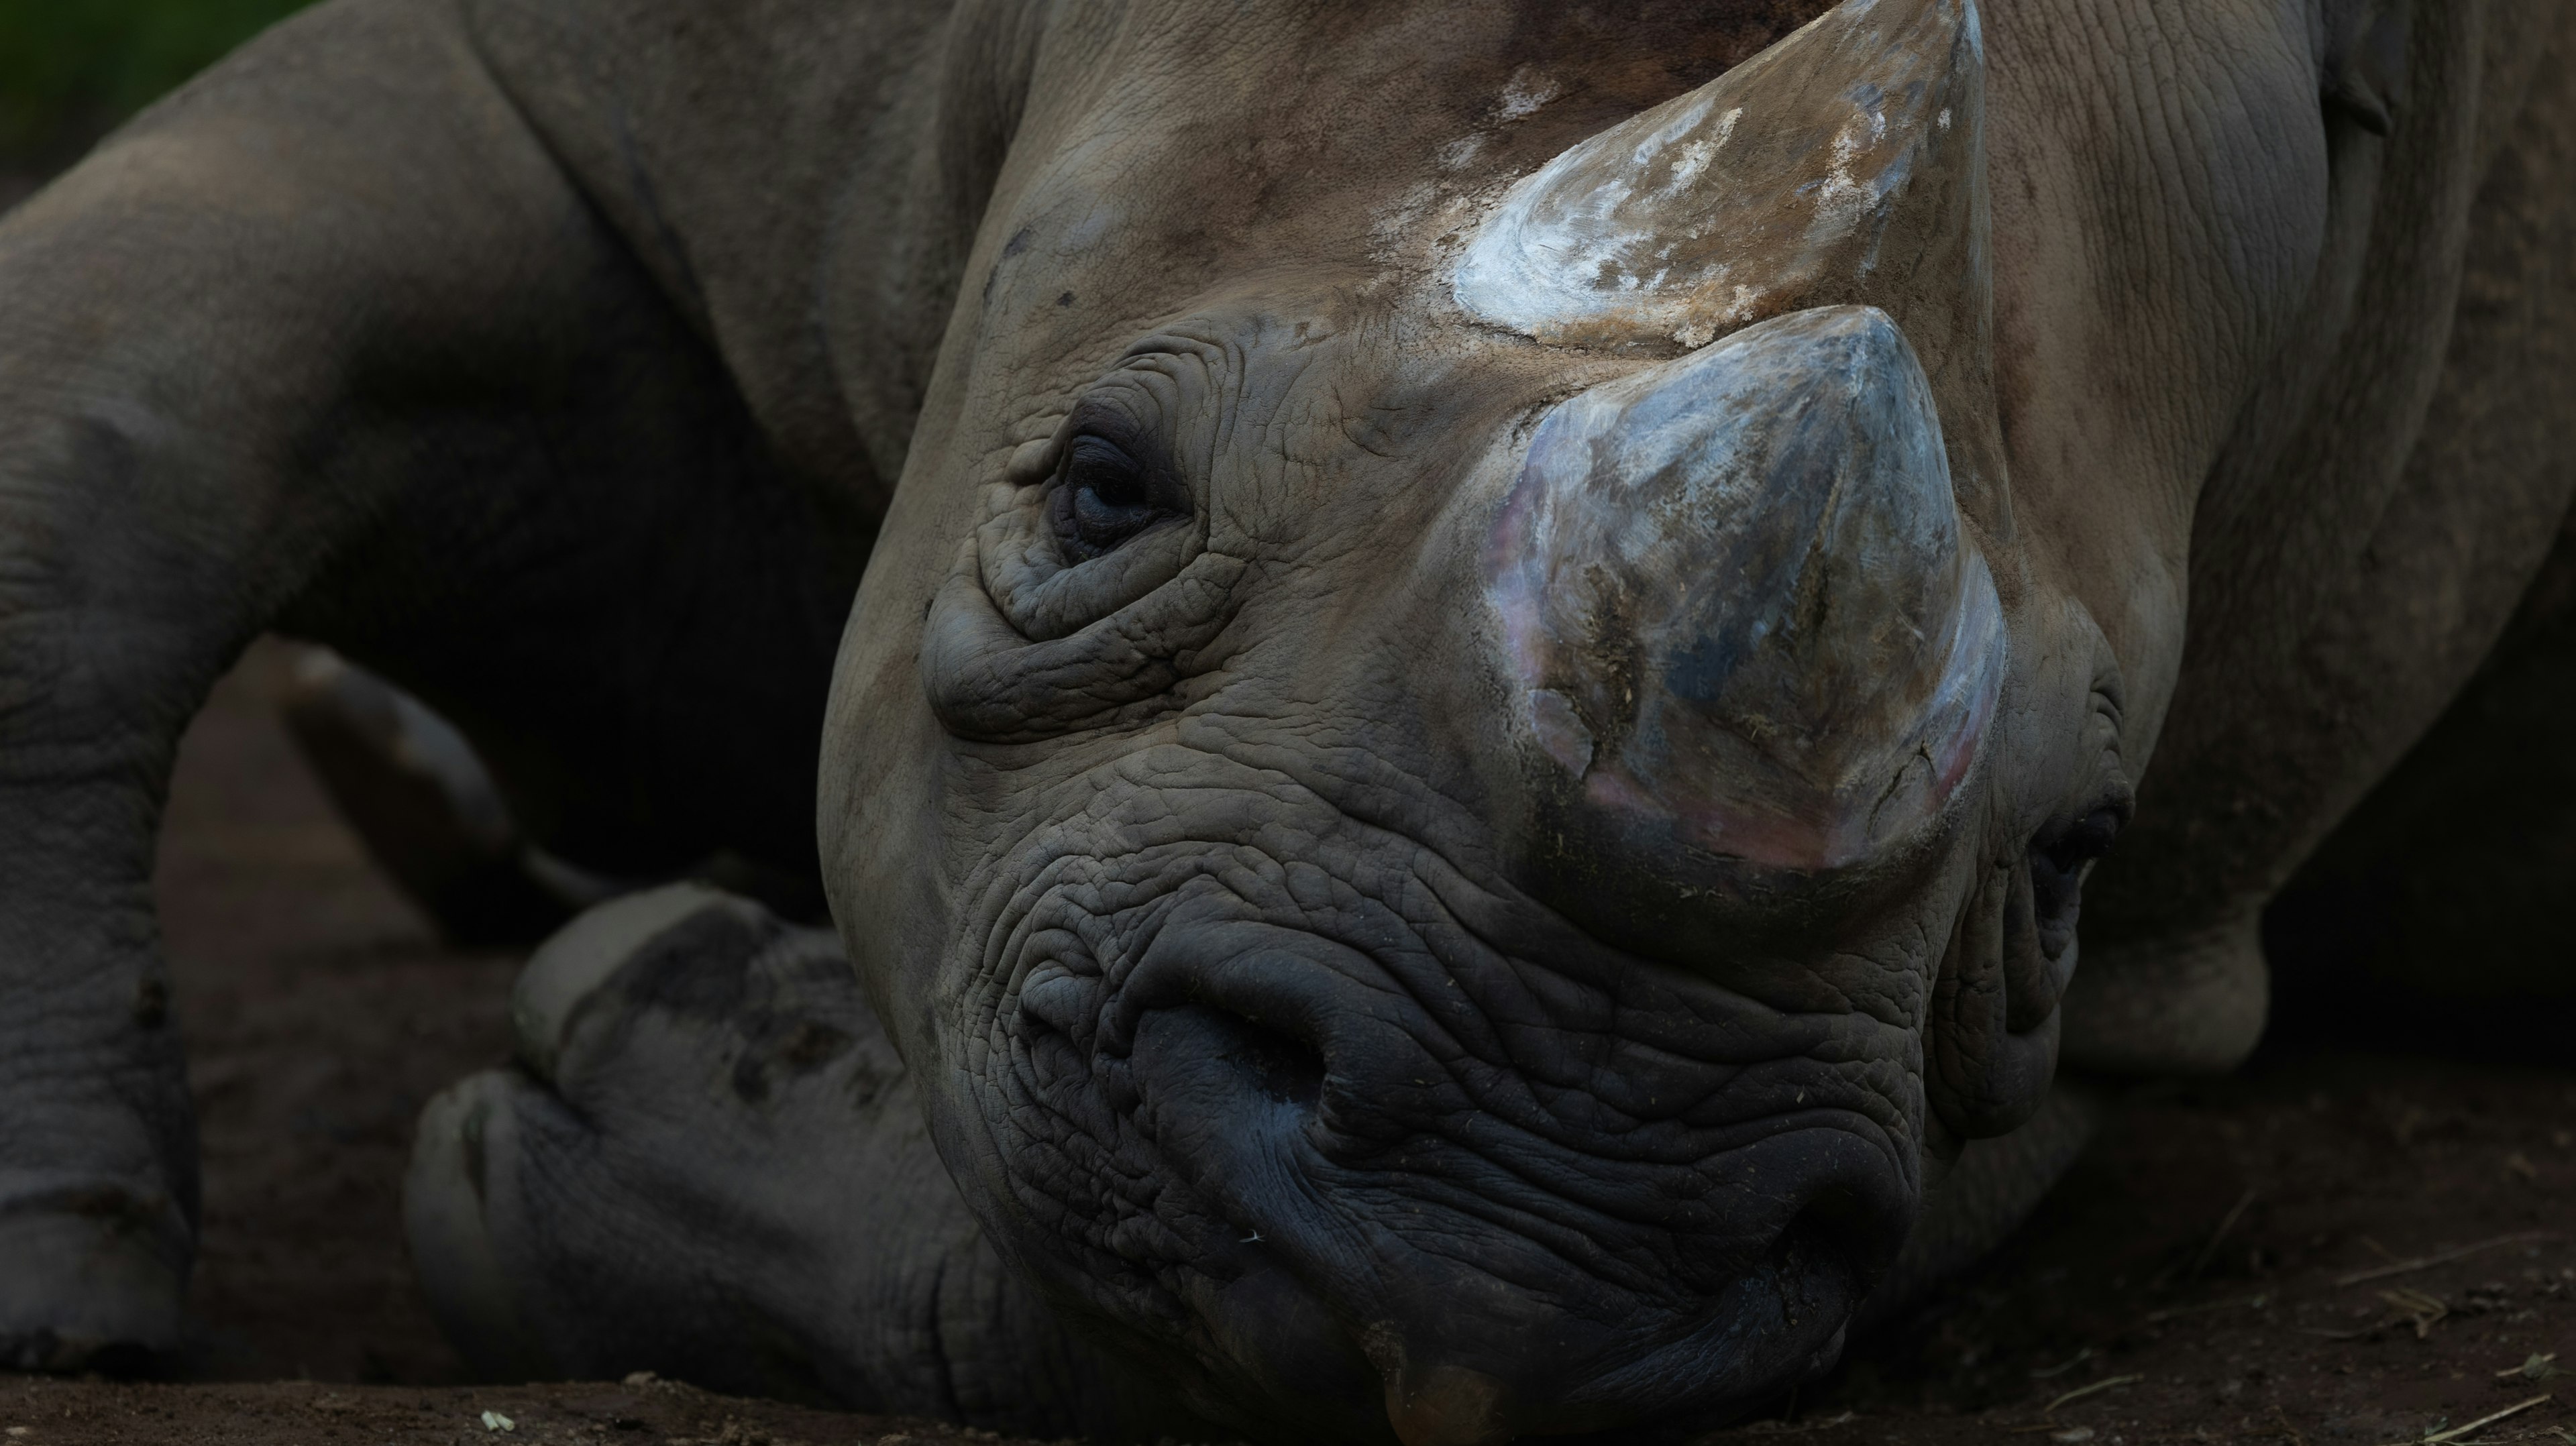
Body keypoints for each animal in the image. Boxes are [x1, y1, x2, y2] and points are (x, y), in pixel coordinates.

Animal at [5, 0, 2576, 1433]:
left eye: (2073, 857)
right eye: (1097, 492)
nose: (1507, 1221)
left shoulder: (2128, 966)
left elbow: (1153, 1323)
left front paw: (618, 1076)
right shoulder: (561, 74)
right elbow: (115, 393)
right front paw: (64, 1301)